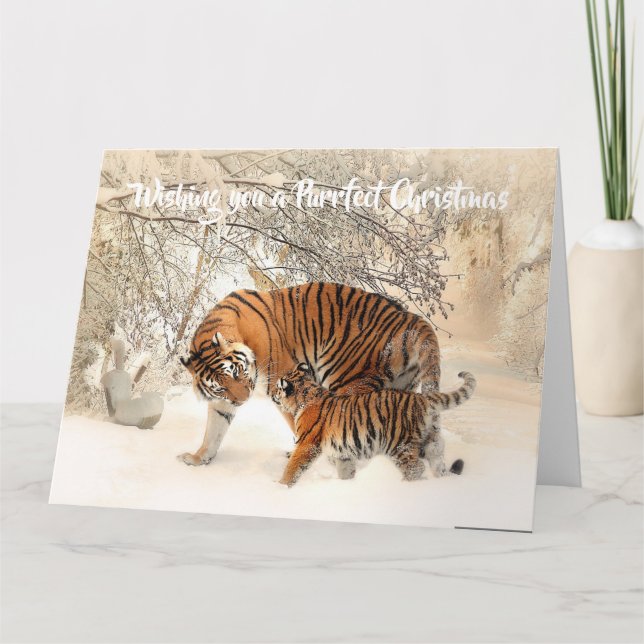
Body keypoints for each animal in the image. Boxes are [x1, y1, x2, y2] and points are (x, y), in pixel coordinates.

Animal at [179, 282, 442, 470]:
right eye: (220, 387)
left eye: (236, 372)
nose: (242, 401)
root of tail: (411, 318)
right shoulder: (223, 402)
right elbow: (214, 429)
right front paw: (198, 458)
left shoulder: (282, 382)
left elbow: (300, 425)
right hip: (400, 390)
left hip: (348, 380)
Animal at [272, 364, 476, 486]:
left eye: (277, 388)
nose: (272, 394)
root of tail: (422, 398)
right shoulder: (343, 453)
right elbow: (346, 470)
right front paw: (346, 486)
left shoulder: (307, 444)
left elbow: (293, 467)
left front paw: (281, 487)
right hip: (431, 442)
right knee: (438, 463)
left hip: (399, 444)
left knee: (415, 468)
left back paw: (405, 485)